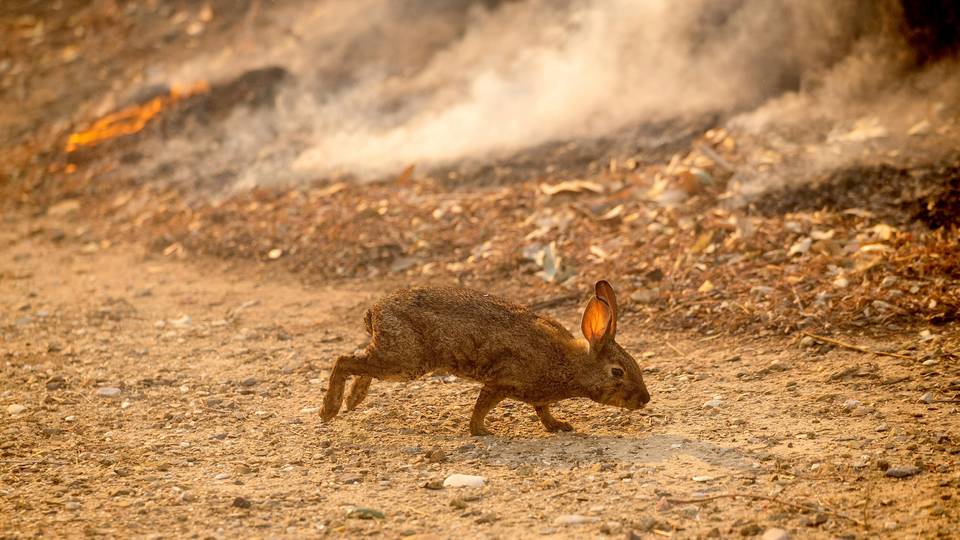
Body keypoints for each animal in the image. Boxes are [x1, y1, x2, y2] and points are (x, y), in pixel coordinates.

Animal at [318, 280, 648, 436]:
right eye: (617, 372)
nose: (645, 399)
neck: (571, 363)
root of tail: (374, 312)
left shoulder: (537, 395)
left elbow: (543, 410)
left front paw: (559, 426)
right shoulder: (501, 381)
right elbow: (482, 406)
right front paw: (481, 431)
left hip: (398, 358)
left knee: (360, 361)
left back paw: (353, 401)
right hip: (406, 361)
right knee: (344, 360)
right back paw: (329, 410)